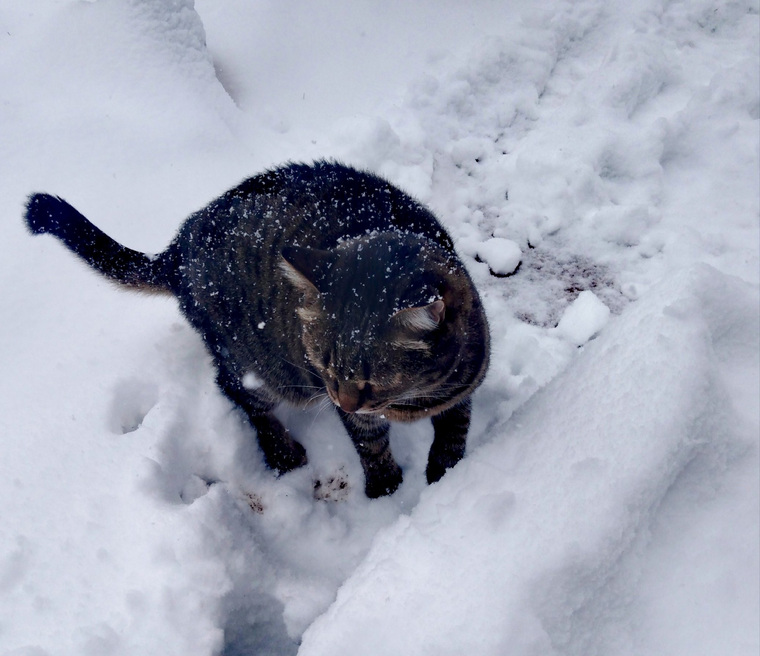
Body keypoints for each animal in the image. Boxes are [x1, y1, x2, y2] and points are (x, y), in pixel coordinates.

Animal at [26, 160, 490, 498]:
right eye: (325, 366)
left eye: (373, 380)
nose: (339, 398)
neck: (414, 402)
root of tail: (179, 247)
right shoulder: (346, 406)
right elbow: (370, 441)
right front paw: (385, 484)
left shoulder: (465, 384)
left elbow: (456, 425)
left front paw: (448, 470)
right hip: (262, 367)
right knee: (236, 391)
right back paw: (282, 452)